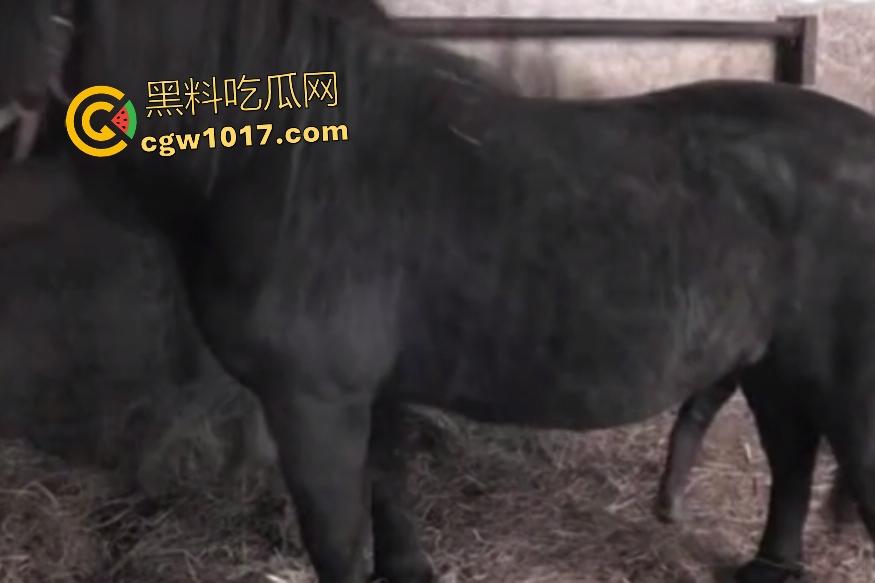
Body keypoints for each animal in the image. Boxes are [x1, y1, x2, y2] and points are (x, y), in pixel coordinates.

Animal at [5, 1, 875, 582]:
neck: (291, 169)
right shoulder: (372, 392)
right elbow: (389, 497)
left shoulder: (312, 401)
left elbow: (338, 540)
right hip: (773, 364)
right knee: (791, 455)